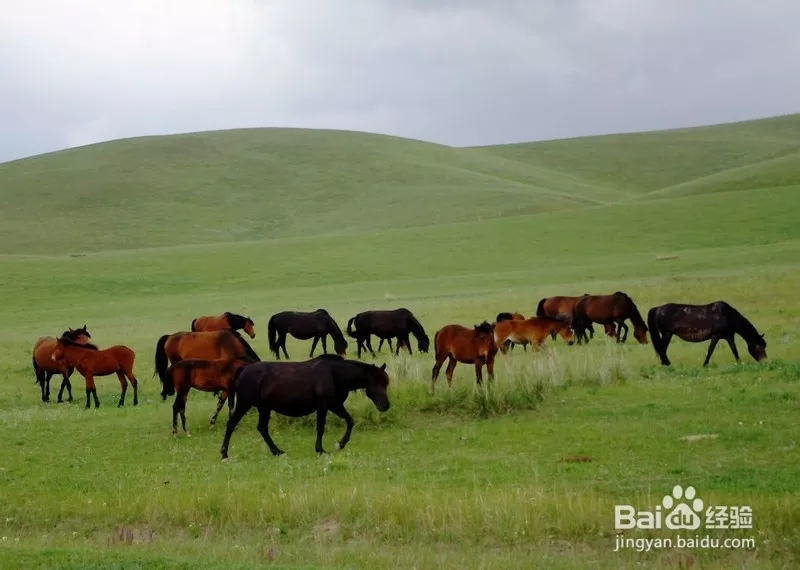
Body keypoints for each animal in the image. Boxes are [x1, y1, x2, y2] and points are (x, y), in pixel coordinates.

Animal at [220, 352, 390, 460]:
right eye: (376, 382)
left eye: (385, 383)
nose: (386, 405)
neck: (335, 374)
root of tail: (244, 369)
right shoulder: (323, 406)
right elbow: (320, 428)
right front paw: (320, 450)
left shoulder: (335, 405)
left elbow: (350, 421)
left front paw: (340, 444)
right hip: (245, 403)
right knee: (231, 424)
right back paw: (224, 454)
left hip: (264, 408)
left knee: (262, 428)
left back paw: (278, 452)